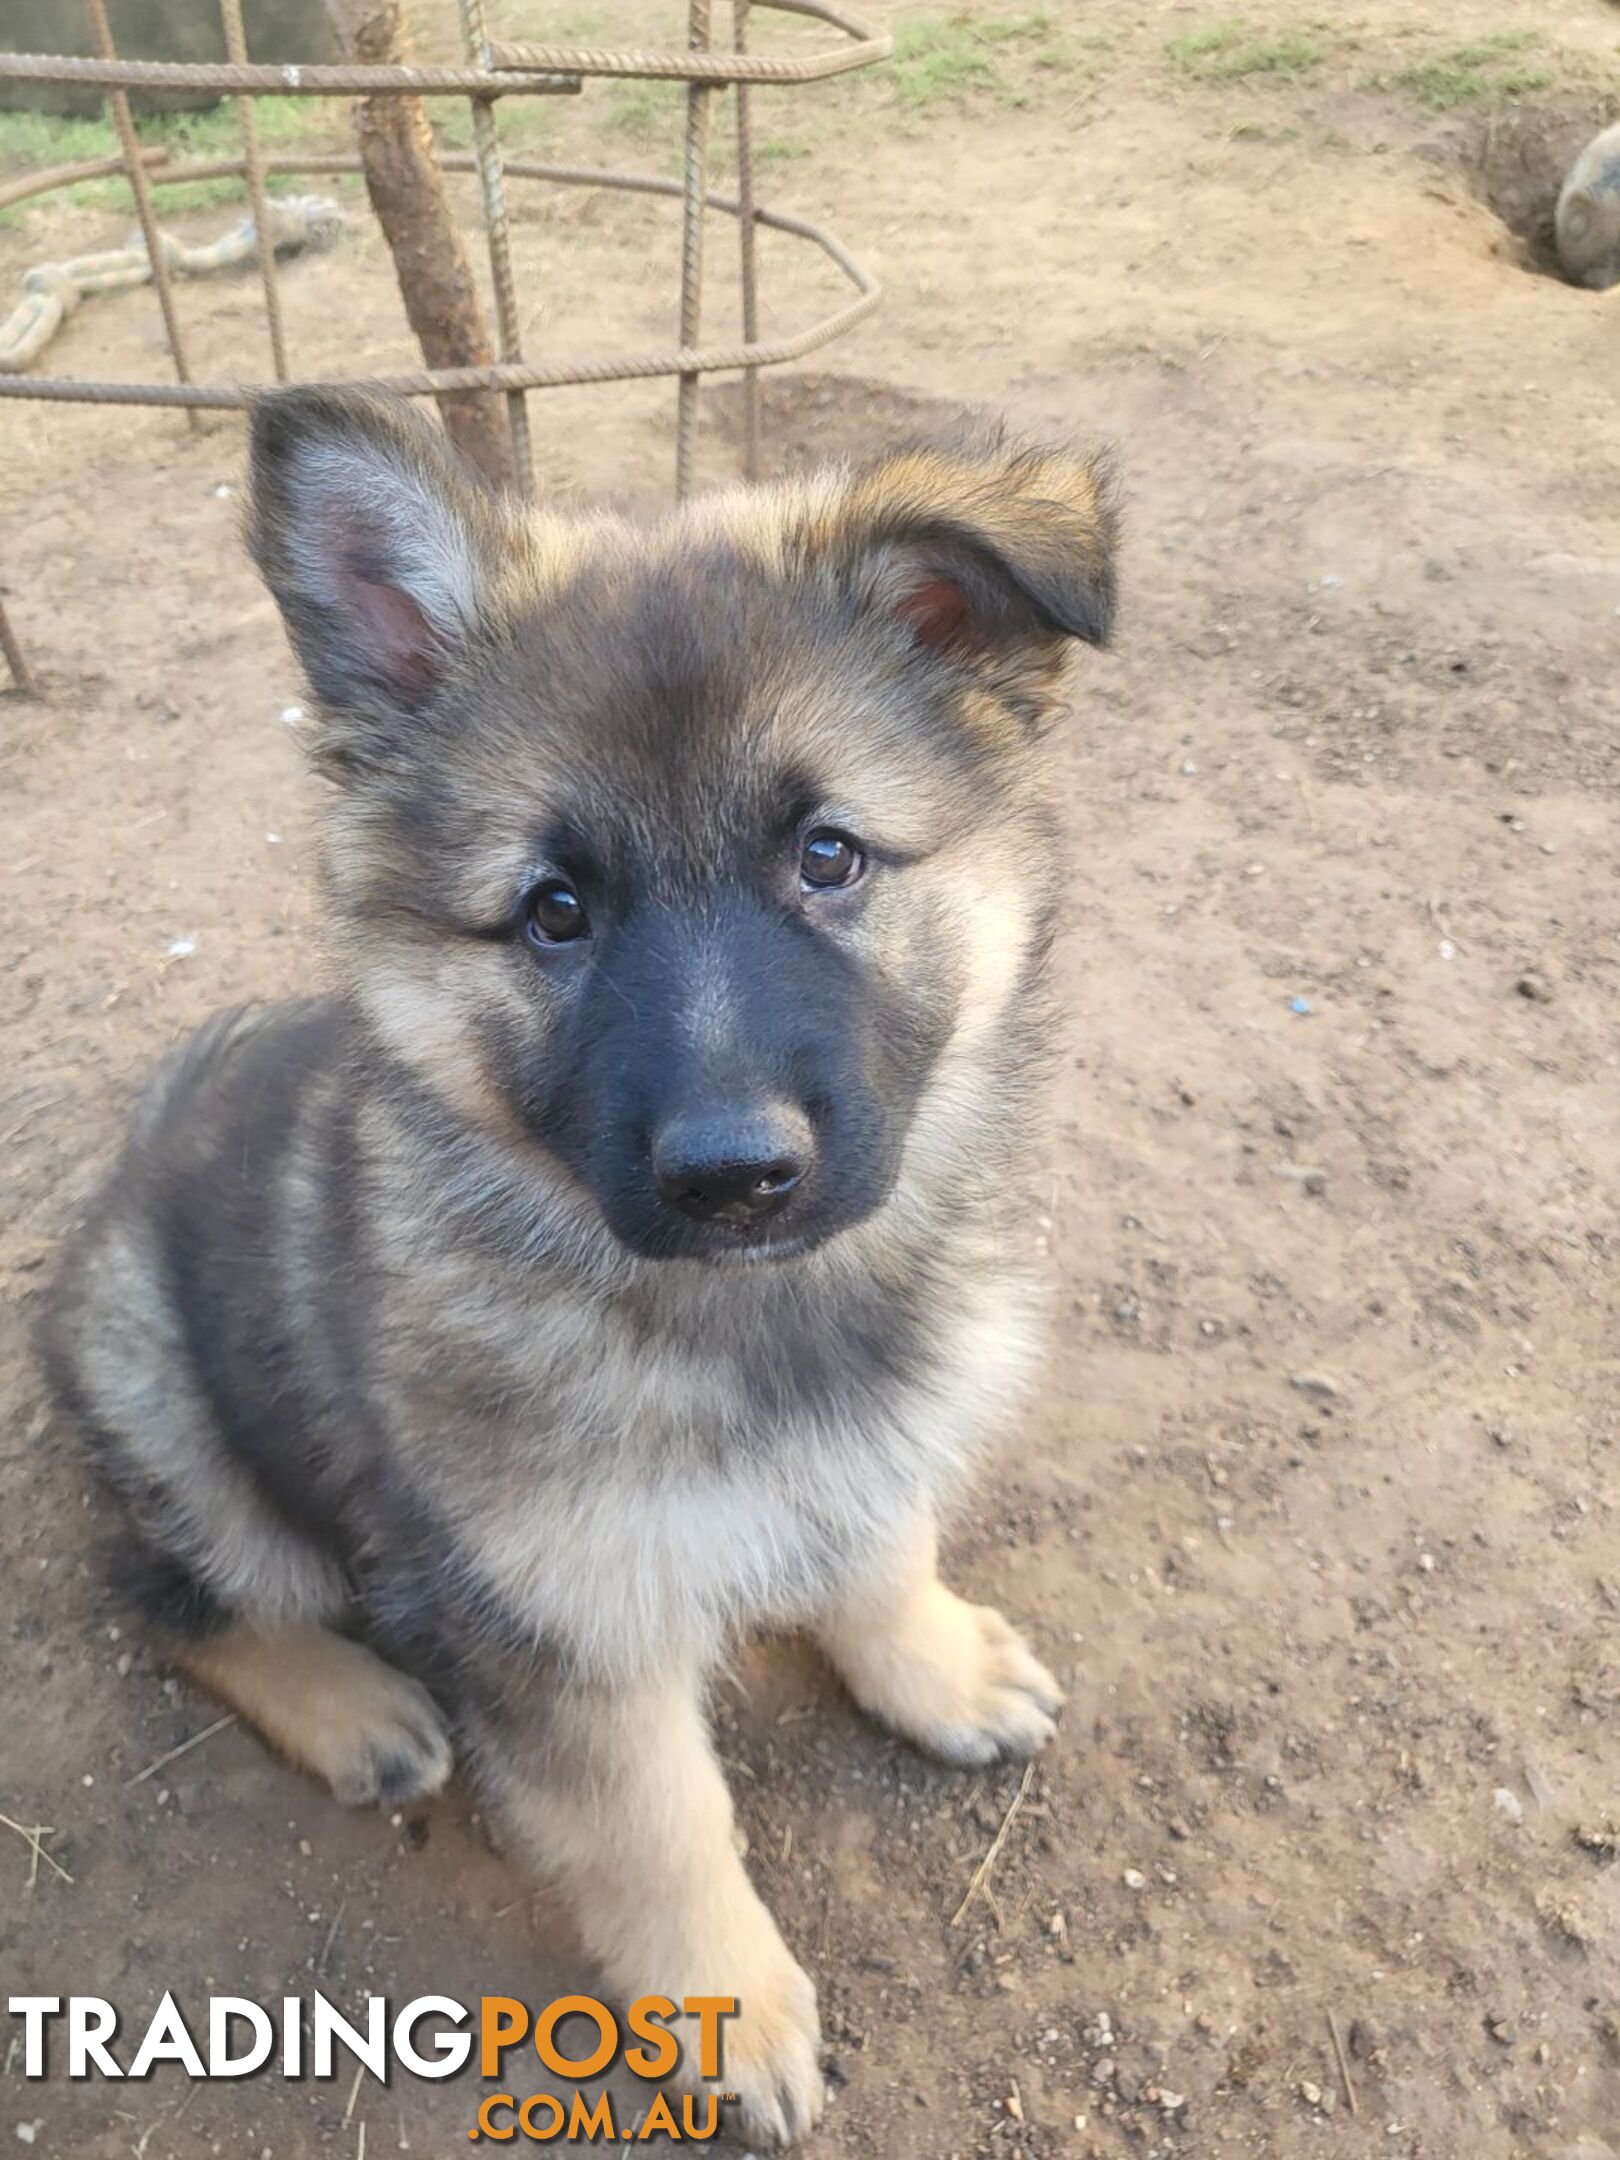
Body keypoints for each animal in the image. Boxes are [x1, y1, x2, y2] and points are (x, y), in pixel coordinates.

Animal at [47, 388, 1114, 2142]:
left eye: (829, 855)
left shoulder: (871, 1450)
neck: (748, 1316)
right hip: (175, 1415)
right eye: (554, 911)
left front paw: (936, 1666)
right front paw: (726, 2011)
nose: (735, 1175)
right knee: (175, 1601)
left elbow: (879, 1554)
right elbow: (660, 1831)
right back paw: (356, 1710)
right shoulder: (564, 1628)